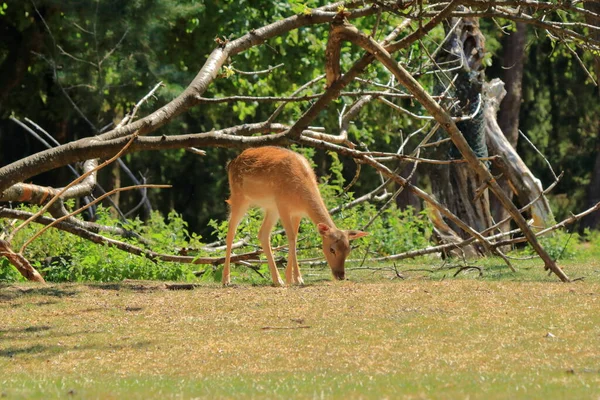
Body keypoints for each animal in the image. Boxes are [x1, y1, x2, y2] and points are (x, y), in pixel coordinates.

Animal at [223, 145, 368, 286]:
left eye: (348, 250)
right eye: (332, 249)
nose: (341, 275)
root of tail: (231, 163)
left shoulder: (297, 212)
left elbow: (295, 238)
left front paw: (296, 278)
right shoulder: (283, 206)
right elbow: (291, 238)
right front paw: (291, 278)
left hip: (271, 208)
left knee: (263, 234)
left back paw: (277, 280)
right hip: (239, 197)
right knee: (231, 232)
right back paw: (226, 280)